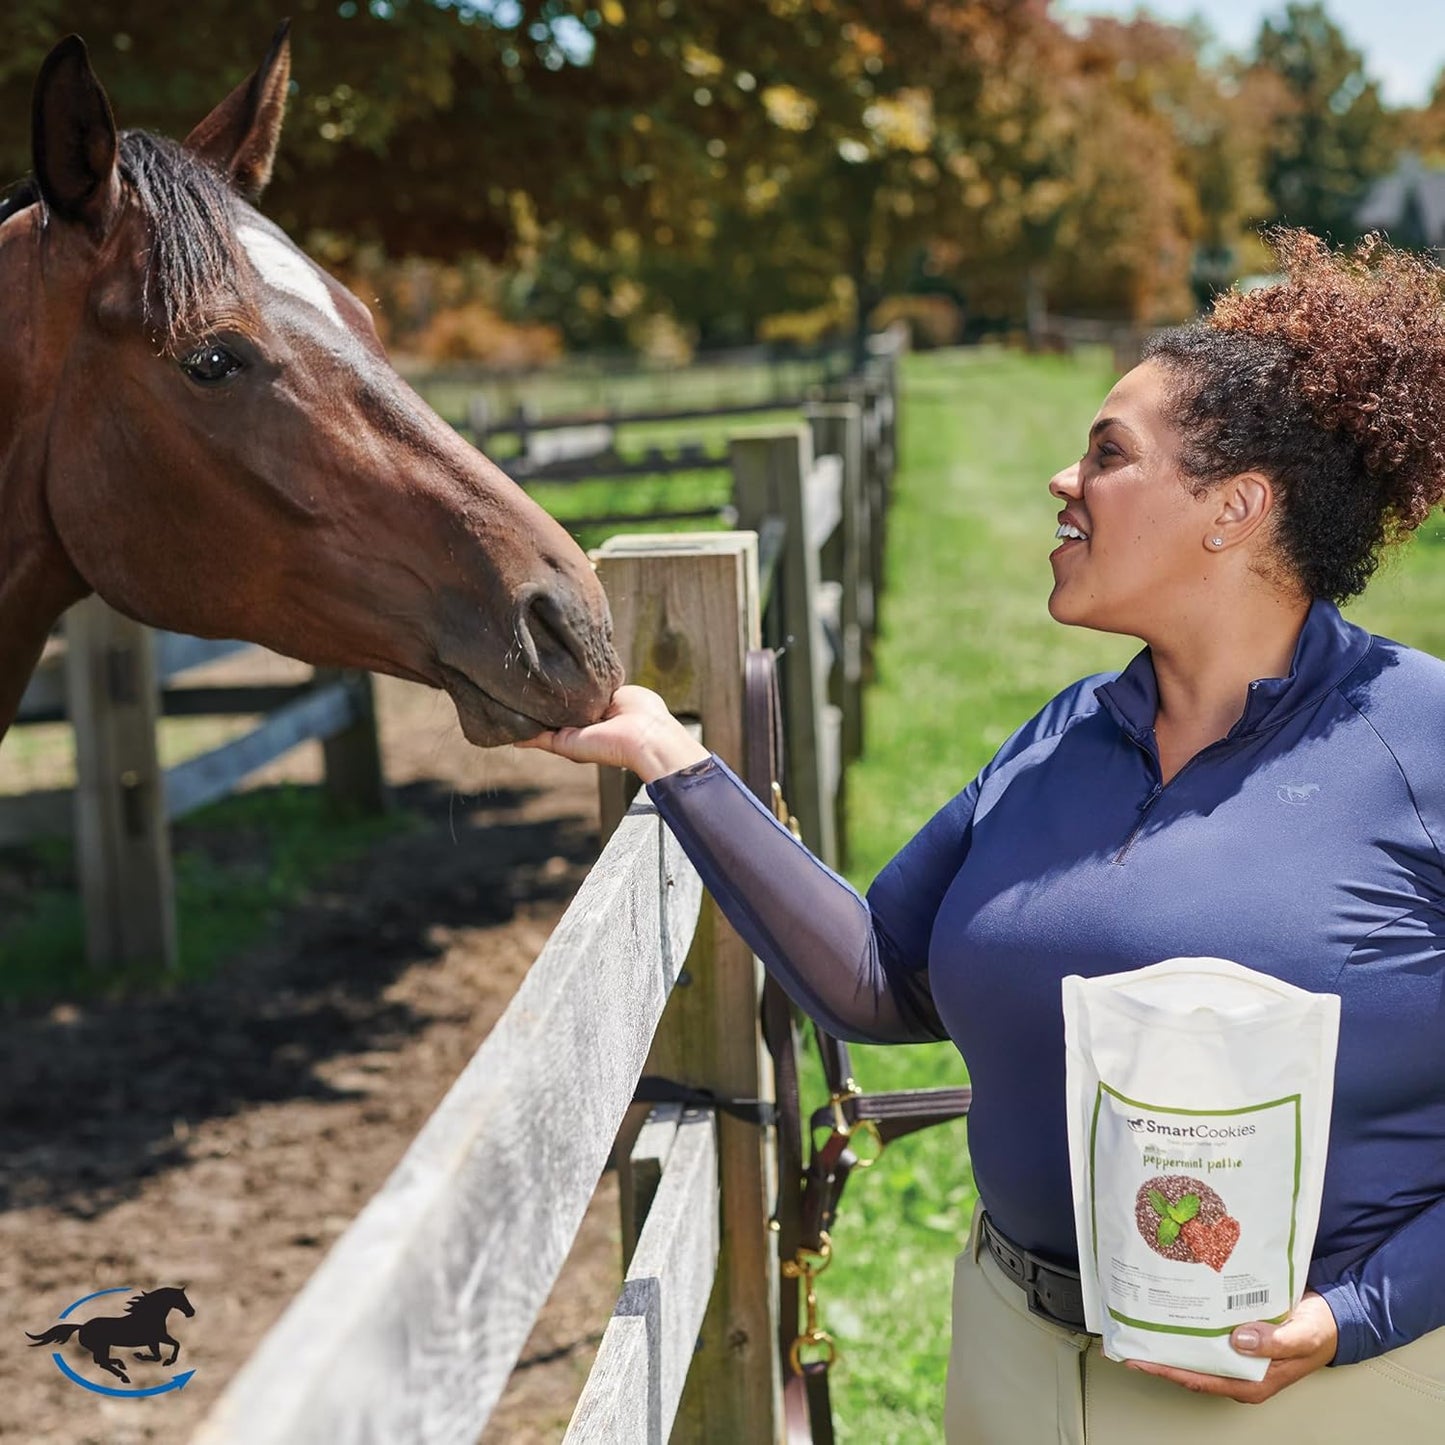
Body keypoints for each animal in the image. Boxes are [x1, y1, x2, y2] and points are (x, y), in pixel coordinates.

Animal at [27, 1288, 195, 1375]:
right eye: (182, 1299)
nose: (191, 1312)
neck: (149, 1316)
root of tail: (81, 1326)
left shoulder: (155, 1340)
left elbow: (168, 1350)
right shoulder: (156, 1339)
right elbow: (168, 1350)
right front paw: (142, 1356)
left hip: (102, 1347)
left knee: (102, 1362)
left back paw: (121, 1366)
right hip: (102, 1346)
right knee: (102, 1362)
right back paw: (123, 1374)